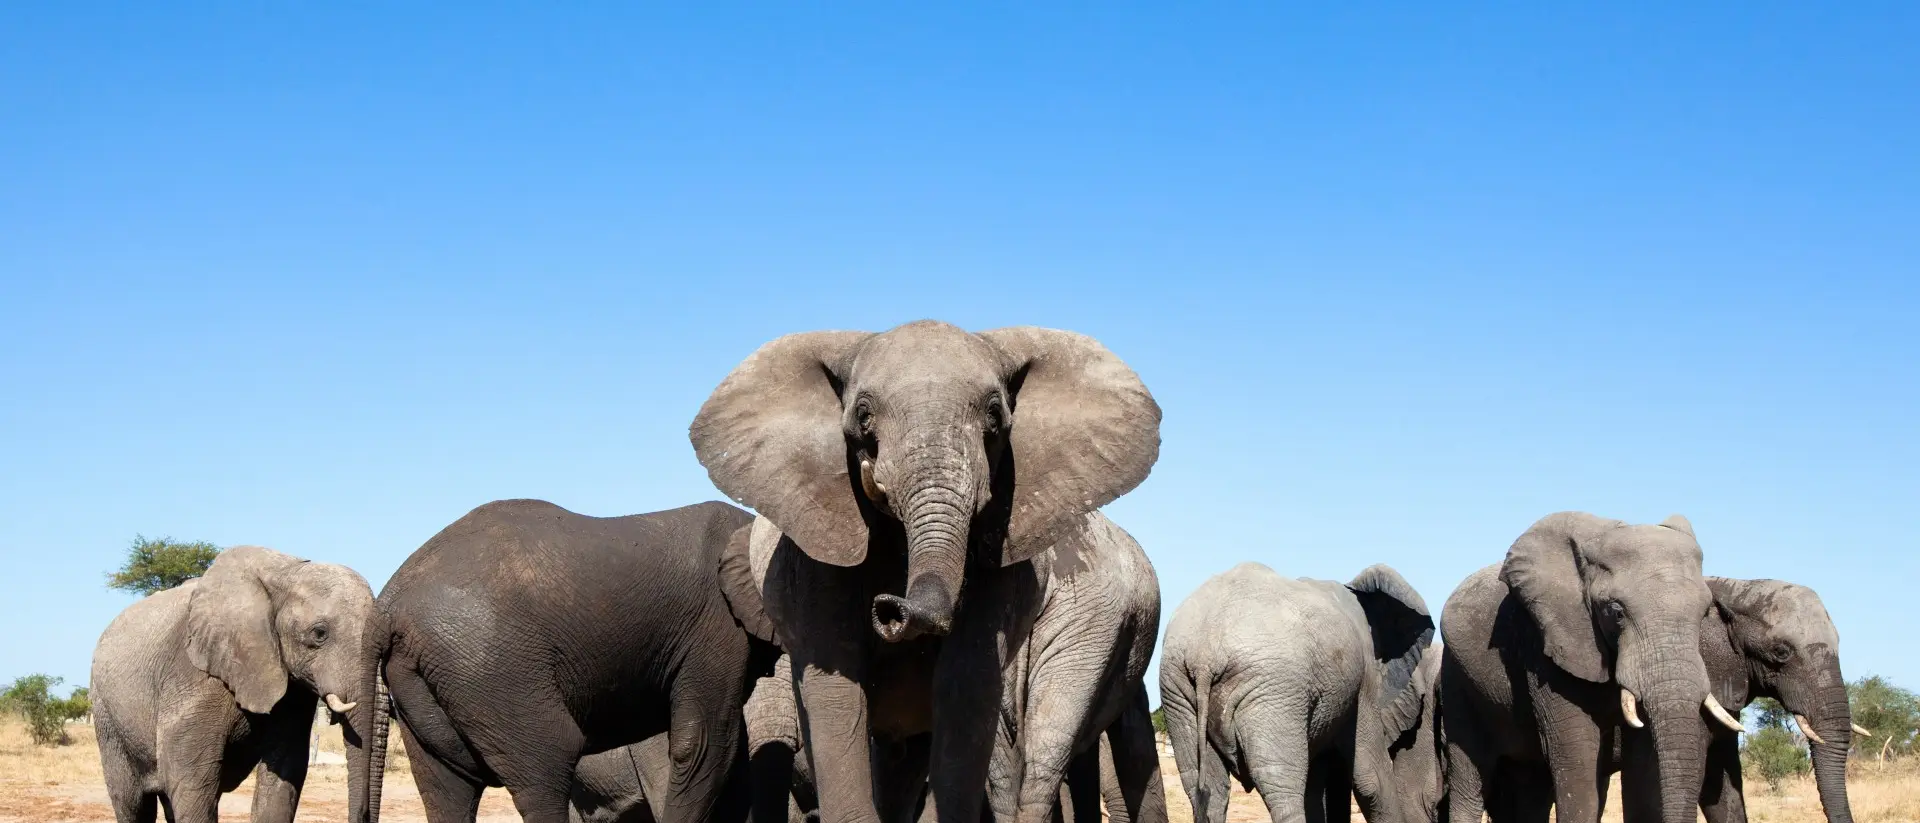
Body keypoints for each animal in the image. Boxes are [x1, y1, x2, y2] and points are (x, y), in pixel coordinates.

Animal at [91, 546, 382, 823]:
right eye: (319, 633)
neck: (286, 571)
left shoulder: (292, 691)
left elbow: (285, 768)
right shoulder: (193, 673)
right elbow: (189, 774)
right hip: (107, 715)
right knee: (133, 802)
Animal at [368, 499, 779, 823]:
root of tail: (386, 607)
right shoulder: (717, 626)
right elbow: (706, 743)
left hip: (424, 678)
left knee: (446, 787)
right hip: (489, 667)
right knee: (546, 767)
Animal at [689, 320, 1161, 823]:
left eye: (995, 416)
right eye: (862, 416)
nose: (889, 607)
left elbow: (967, 680)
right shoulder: (814, 544)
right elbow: (836, 685)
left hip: (1090, 622)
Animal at [1158, 562, 1436, 823]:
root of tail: (1205, 655)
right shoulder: (1364, 675)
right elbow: (1371, 779)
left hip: (1178, 689)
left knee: (1205, 784)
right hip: (1272, 689)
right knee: (1281, 784)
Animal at [1439, 512, 1740, 823]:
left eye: (1704, 614)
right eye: (1617, 613)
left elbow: (1641, 764)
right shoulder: (1546, 642)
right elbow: (1577, 756)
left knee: (1530, 790)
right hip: (1456, 678)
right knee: (1470, 778)